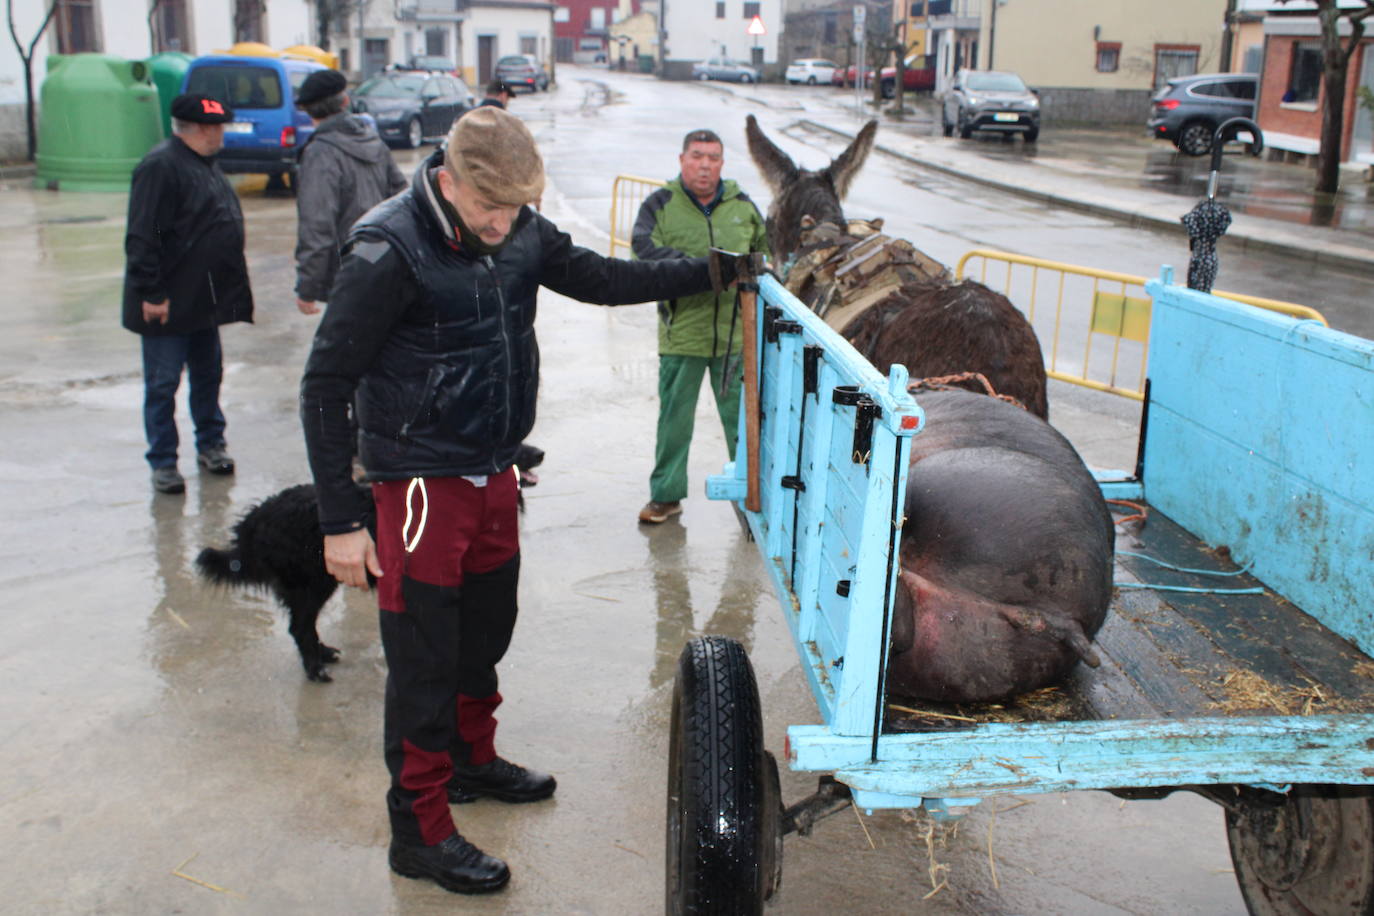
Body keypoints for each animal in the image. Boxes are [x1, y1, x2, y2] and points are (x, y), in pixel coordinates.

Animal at [199, 444, 541, 681]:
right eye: (515, 446)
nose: (541, 453)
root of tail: (256, 518)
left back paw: (323, 653)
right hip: (312, 583)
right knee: (300, 626)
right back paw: (314, 668)